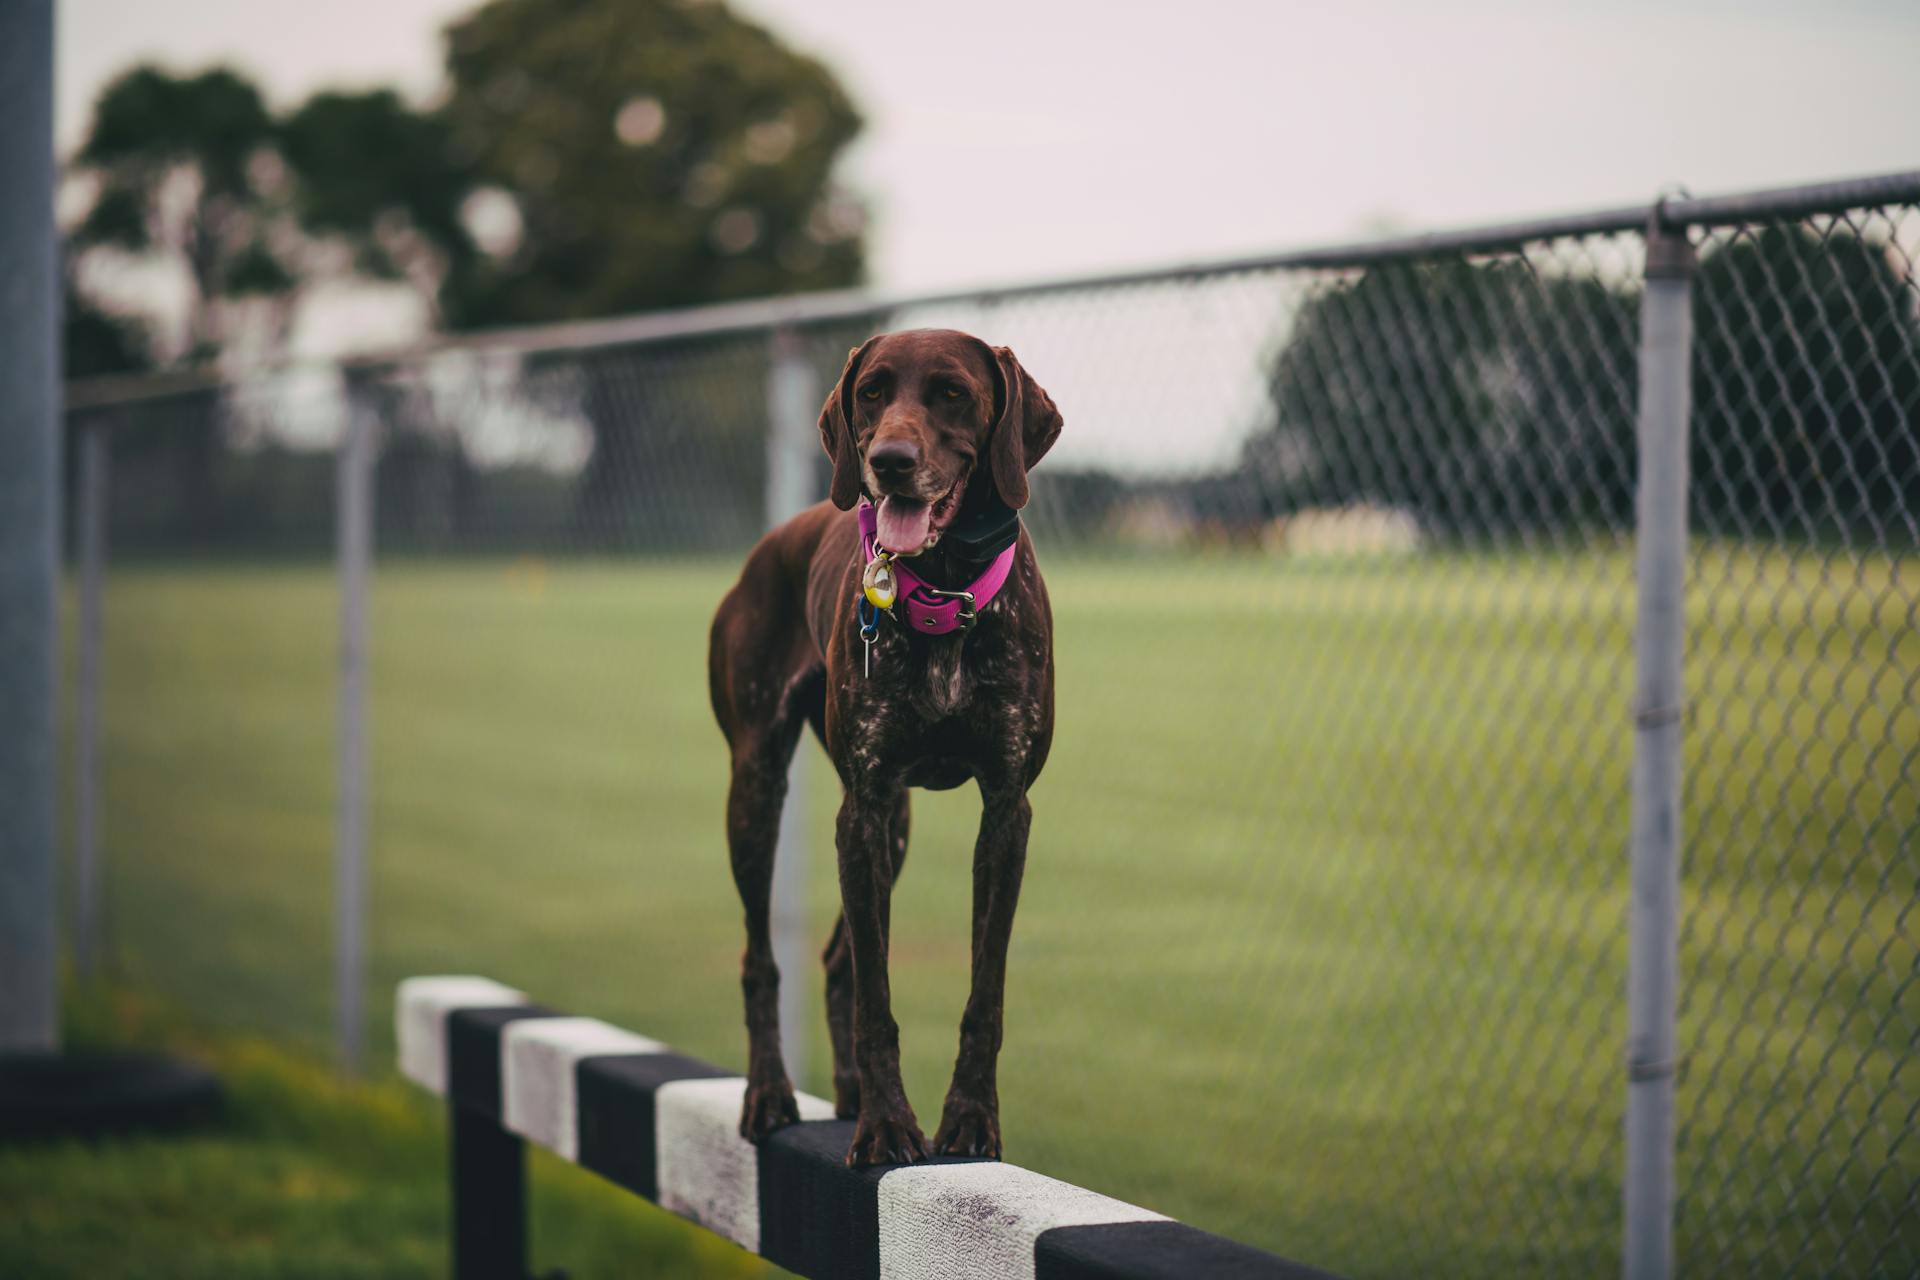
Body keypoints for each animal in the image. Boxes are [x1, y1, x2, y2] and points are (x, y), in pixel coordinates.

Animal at [710, 328, 1067, 1159]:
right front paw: (886, 1125)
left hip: (897, 824)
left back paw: (843, 1093)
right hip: (757, 788)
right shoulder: (862, 809)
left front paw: (968, 1118)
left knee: (837, 957)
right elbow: (878, 995)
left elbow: (983, 991)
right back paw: (771, 1092)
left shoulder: (1005, 810)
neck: (942, 586)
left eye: (952, 393)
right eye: (872, 391)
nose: (890, 461)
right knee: (761, 957)